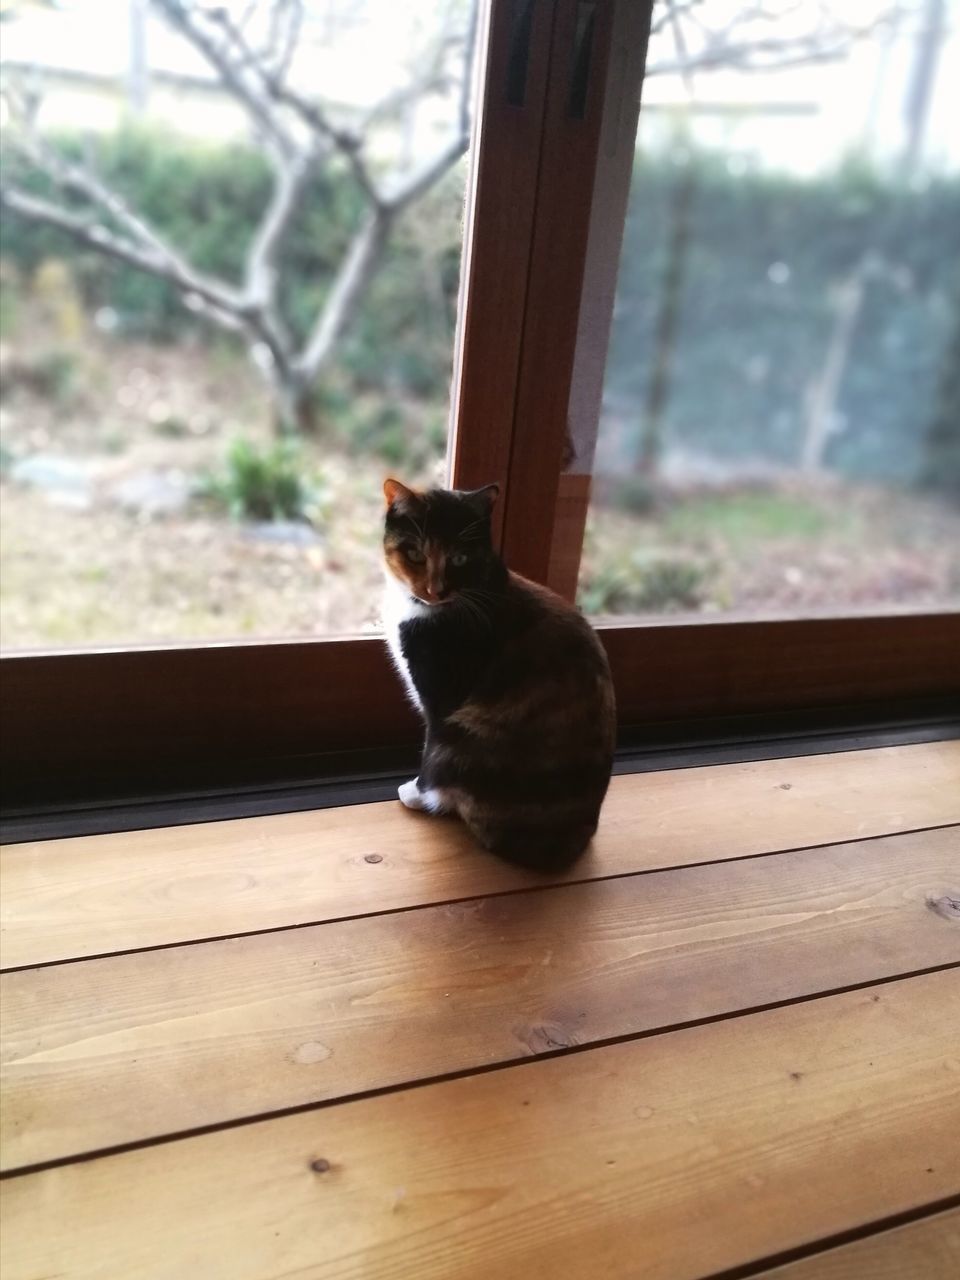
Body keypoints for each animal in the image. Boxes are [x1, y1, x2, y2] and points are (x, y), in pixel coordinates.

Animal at [381, 476, 616, 875]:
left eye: (460, 558)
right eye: (414, 553)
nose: (435, 590)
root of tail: (572, 842)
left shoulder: (442, 702)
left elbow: (430, 754)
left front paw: (416, 794)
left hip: (468, 738)